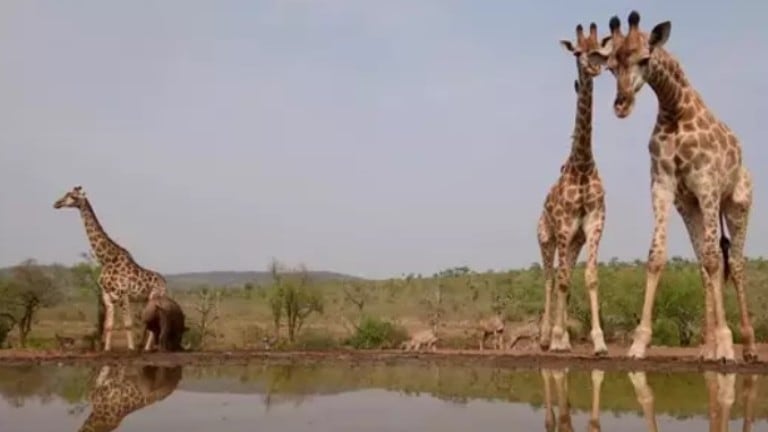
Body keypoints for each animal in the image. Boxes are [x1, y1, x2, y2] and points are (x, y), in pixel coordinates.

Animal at [54, 186, 168, 352]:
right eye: (66, 194)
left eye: (73, 196)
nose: (57, 203)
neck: (106, 259)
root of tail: (165, 283)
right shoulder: (107, 296)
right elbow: (108, 325)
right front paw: (107, 350)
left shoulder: (123, 294)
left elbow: (128, 324)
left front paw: (131, 349)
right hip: (146, 300)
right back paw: (147, 349)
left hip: (155, 298)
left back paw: (147, 349)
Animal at [588, 11, 756, 362]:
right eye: (611, 67)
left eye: (644, 59)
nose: (621, 105)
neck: (675, 109)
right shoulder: (663, 185)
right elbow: (658, 256)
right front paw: (639, 343)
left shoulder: (706, 184)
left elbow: (714, 259)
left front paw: (726, 344)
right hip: (689, 207)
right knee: (707, 264)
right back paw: (708, 348)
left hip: (736, 204)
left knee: (734, 262)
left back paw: (745, 346)